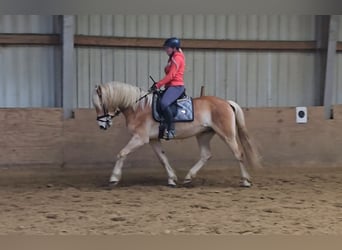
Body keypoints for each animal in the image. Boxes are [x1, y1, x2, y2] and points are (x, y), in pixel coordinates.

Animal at [92, 81, 260, 188]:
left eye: (100, 104)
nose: (101, 125)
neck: (138, 107)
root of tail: (226, 102)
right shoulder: (153, 140)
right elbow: (163, 159)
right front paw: (172, 179)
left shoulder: (140, 138)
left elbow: (122, 153)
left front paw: (113, 179)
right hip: (203, 135)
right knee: (206, 155)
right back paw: (188, 178)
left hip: (226, 134)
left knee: (239, 154)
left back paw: (246, 181)